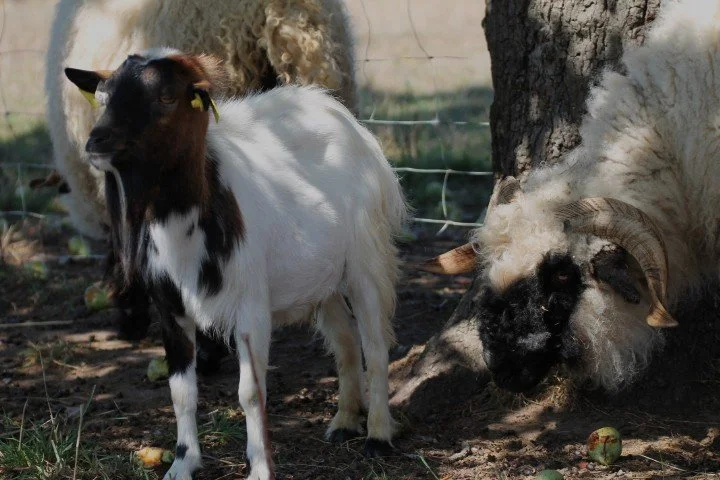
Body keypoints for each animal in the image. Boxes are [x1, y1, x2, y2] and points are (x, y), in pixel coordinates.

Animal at [64, 48, 407, 480]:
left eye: (167, 97)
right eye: (103, 96)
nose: (97, 141)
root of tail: (333, 109)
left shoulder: (251, 308)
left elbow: (250, 392)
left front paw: (259, 467)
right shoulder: (170, 309)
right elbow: (181, 392)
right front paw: (182, 463)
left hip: (366, 256)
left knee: (375, 345)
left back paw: (378, 435)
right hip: (320, 276)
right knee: (344, 341)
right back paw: (344, 422)